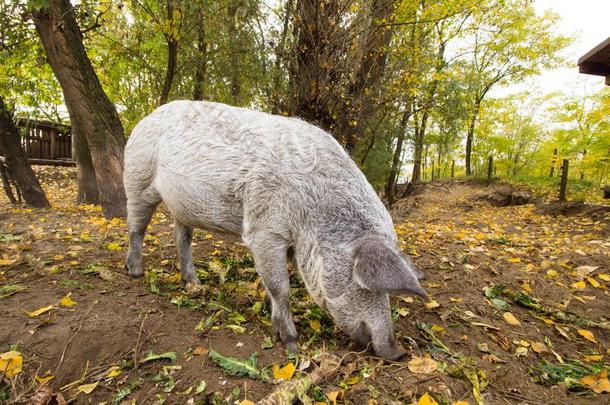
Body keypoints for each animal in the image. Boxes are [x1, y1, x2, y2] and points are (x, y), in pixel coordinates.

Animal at [123, 101, 426, 360]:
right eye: (363, 284)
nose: (399, 351)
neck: (314, 215)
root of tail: (143, 120)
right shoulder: (264, 231)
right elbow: (281, 287)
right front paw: (291, 344)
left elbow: (274, 283)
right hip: (138, 180)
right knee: (136, 228)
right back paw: (135, 272)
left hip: (181, 207)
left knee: (182, 237)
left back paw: (195, 283)